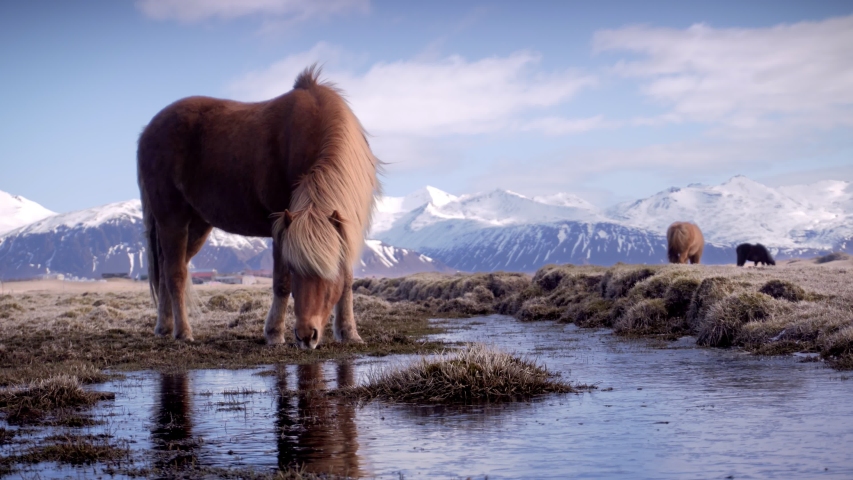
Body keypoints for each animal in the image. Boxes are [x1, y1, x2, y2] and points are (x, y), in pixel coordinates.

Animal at [137, 66, 381, 349]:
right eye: (295, 269)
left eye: (329, 274)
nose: (306, 335)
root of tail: (148, 130)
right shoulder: (281, 226)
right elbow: (281, 283)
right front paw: (274, 333)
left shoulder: (344, 229)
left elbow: (348, 280)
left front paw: (349, 332)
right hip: (171, 220)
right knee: (175, 274)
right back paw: (182, 332)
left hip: (197, 226)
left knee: (170, 270)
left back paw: (164, 327)